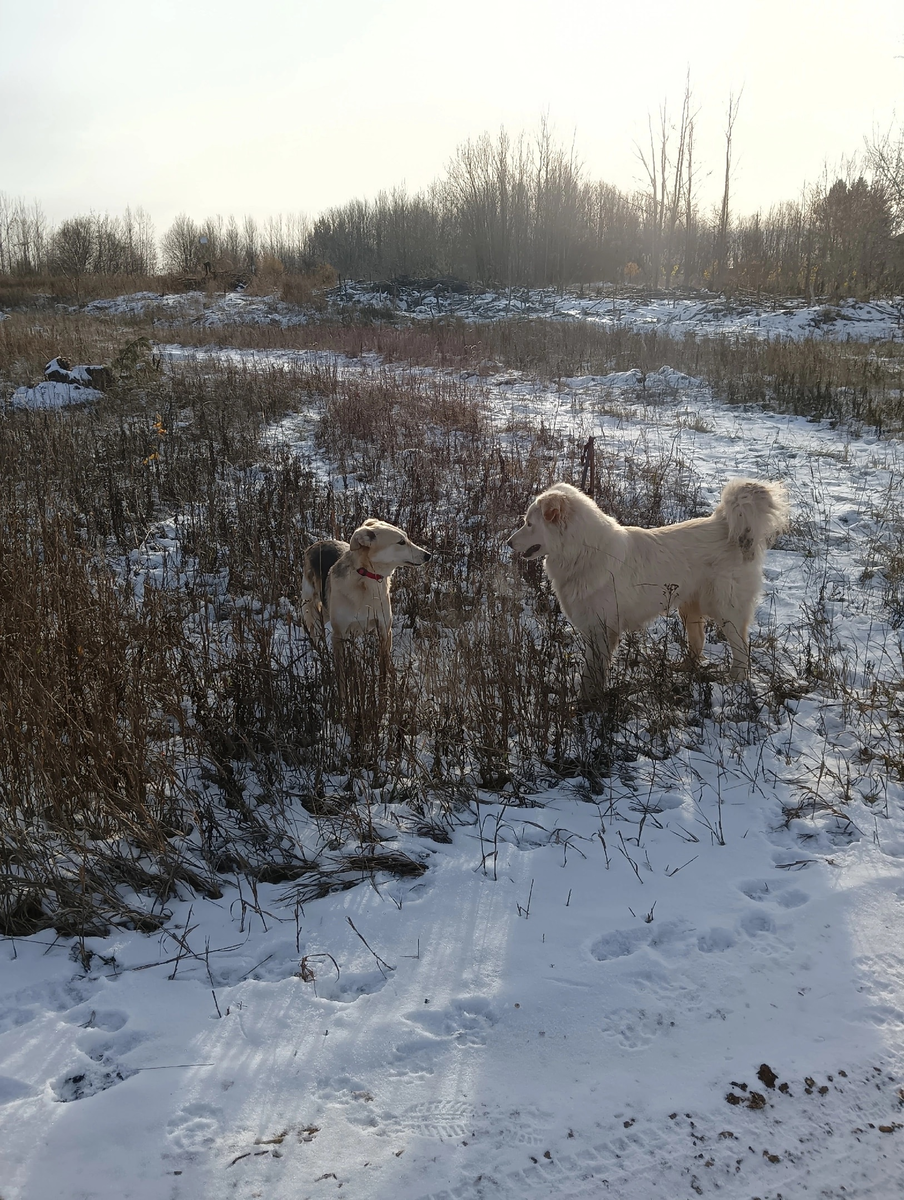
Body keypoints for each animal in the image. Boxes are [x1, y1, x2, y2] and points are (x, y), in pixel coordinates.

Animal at [301, 518, 432, 686]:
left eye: (407, 538)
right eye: (401, 542)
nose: (428, 555)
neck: (367, 579)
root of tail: (316, 544)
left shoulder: (384, 630)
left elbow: (385, 665)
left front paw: (385, 688)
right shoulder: (338, 635)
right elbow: (341, 674)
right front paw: (343, 692)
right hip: (312, 613)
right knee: (315, 636)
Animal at [504, 480, 787, 700]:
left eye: (529, 524)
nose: (507, 543)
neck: (583, 552)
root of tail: (724, 524)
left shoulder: (601, 630)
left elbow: (591, 673)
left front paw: (586, 701)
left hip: (726, 610)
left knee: (741, 648)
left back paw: (735, 679)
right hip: (689, 607)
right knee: (698, 640)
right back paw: (685, 668)